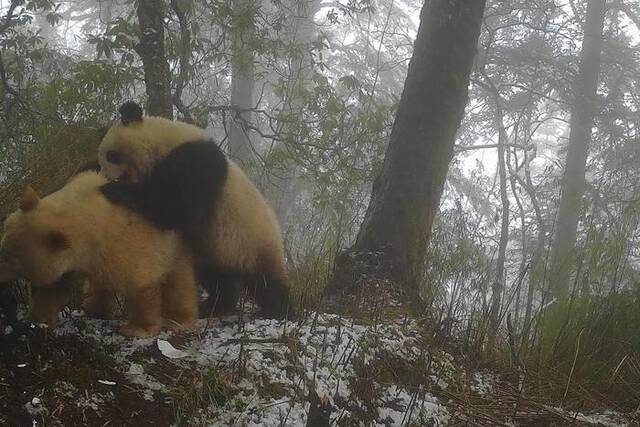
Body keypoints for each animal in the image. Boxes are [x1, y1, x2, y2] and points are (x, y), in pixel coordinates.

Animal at [97, 102, 296, 320]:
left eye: (111, 155)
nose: (105, 175)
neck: (164, 140)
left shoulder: (197, 161)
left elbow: (178, 209)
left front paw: (113, 189)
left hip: (253, 242)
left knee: (266, 282)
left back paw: (279, 310)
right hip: (215, 249)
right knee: (217, 277)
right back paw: (215, 305)